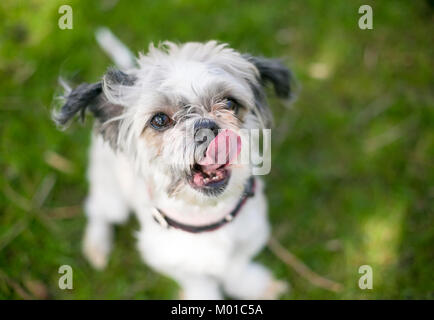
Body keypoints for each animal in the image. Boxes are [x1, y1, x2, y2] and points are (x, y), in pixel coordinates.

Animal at [53, 30, 292, 300]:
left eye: (230, 104)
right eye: (159, 120)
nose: (206, 128)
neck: (206, 217)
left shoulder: (252, 234)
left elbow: (237, 266)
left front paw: (254, 286)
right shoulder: (168, 259)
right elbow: (199, 282)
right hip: (112, 194)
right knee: (97, 210)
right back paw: (97, 244)